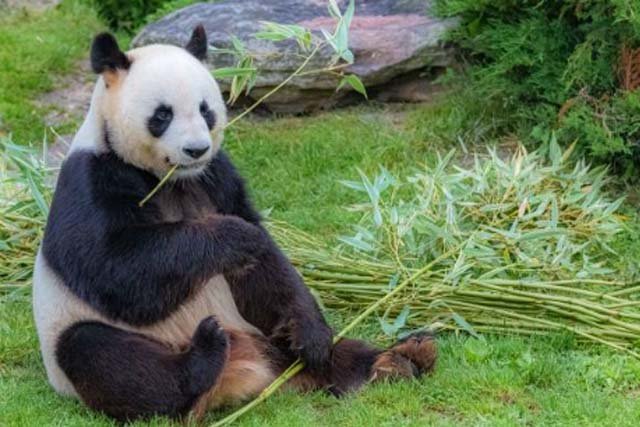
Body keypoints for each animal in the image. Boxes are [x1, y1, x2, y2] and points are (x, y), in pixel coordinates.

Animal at [32, 25, 437, 421]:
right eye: (162, 115)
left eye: (205, 110)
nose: (196, 149)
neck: (173, 180)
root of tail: (237, 376)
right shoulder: (93, 177)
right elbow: (115, 269)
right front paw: (234, 236)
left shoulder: (216, 176)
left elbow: (266, 269)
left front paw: (311, 335)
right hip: (81, 339)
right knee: (104, 357)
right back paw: (202, 356)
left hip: (262, 334)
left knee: (334, 352)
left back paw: (399, 358)